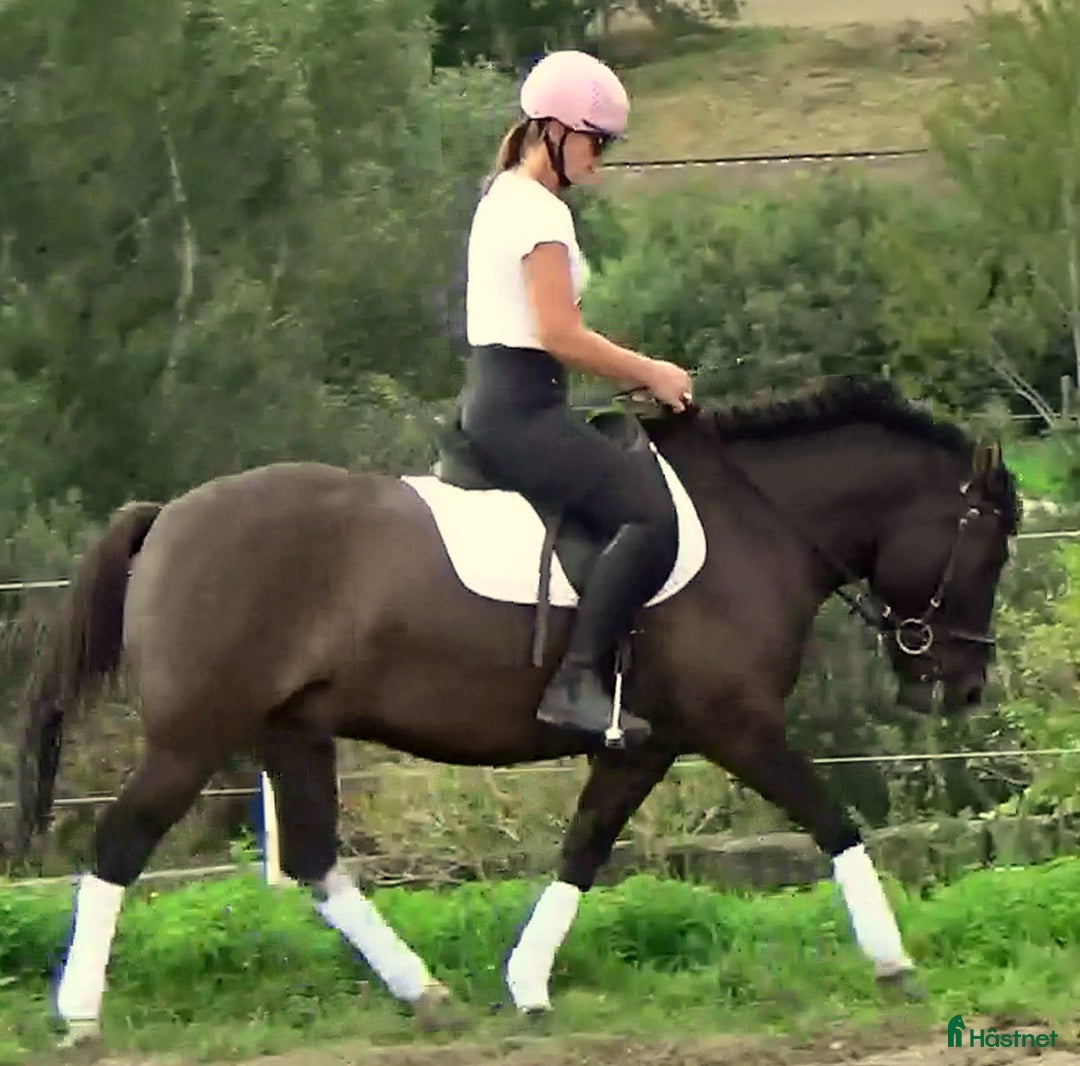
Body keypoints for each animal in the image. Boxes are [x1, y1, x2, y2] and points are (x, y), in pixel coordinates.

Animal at [13, 375, 1021, 1049]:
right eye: (993, 544)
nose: (962, 687)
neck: (756, 522)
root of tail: (168, 516)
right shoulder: (736, 725)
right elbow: (834, 821)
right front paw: (894, 961)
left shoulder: (644, 744)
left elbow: (584, 848)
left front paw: (527, 984)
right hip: (195, 736)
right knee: (121, 845)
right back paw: (80, 1015)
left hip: (291, 731)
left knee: (313, 862)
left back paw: (425, 994)